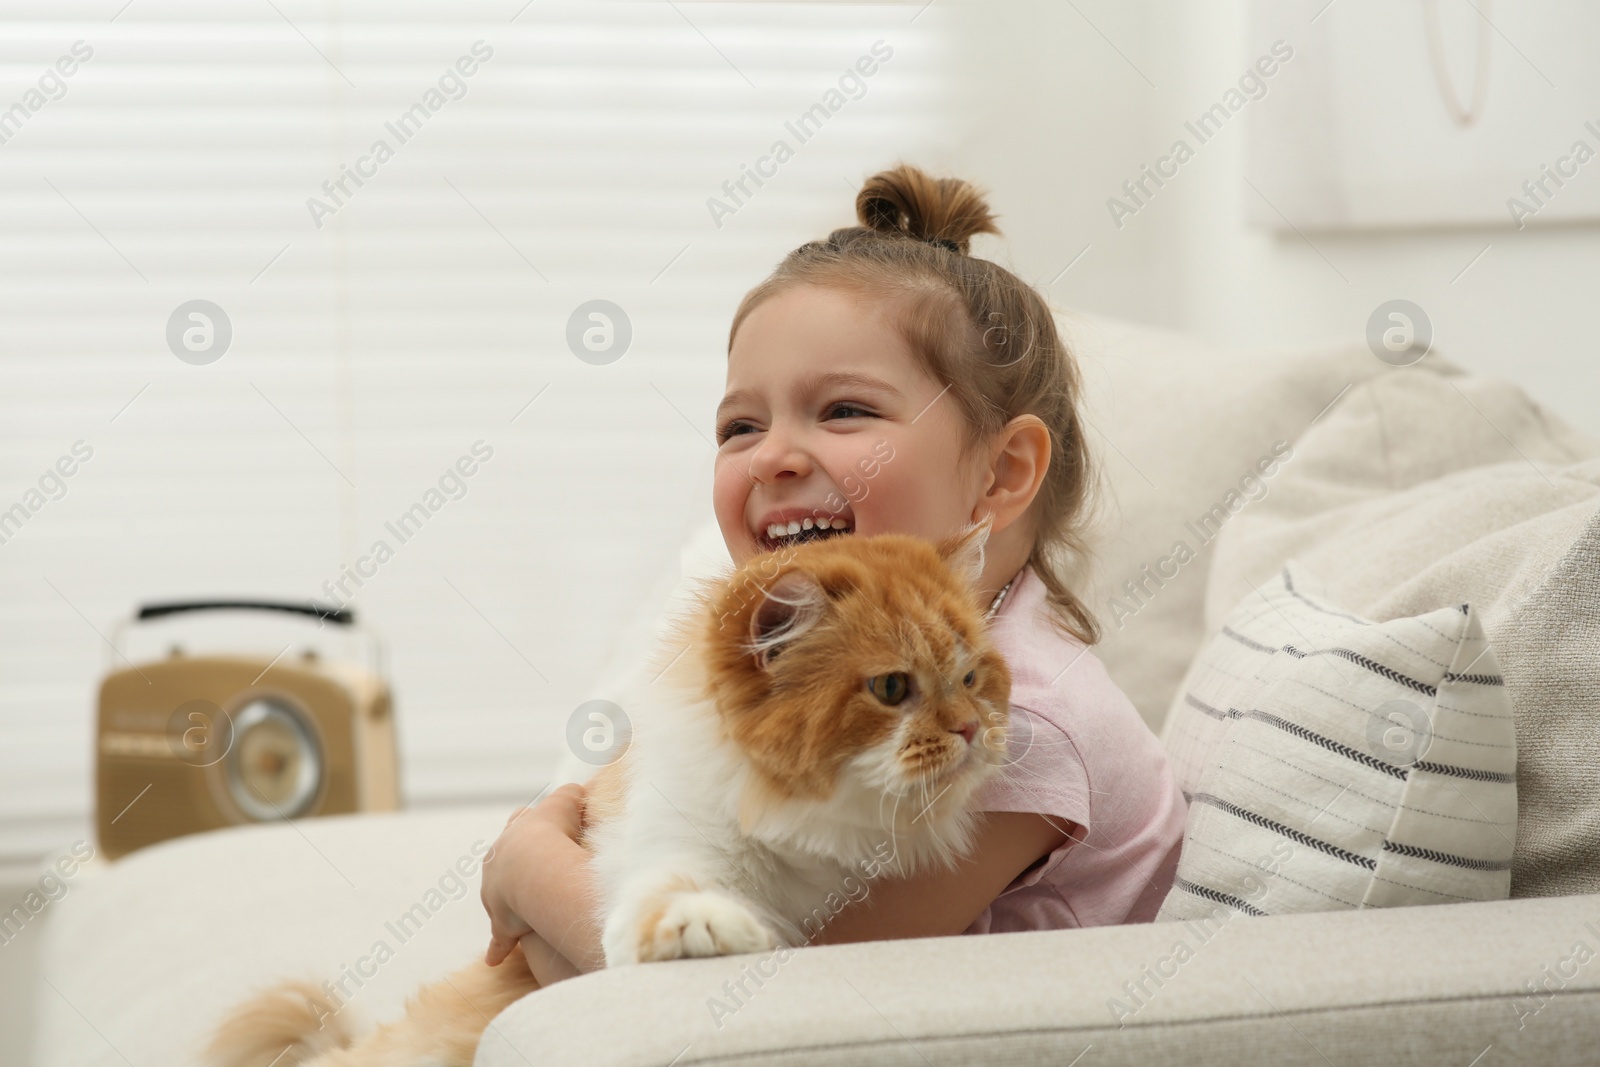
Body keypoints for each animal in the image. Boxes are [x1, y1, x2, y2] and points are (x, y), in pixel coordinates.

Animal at [206, 524, 1011, 1067]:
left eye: (972, 676)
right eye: (892, 688)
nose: (973, 728)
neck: (796, 826)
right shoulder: (672, 841)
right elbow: (674, 892)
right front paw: (701, 928)